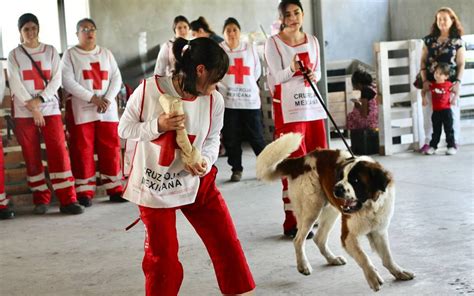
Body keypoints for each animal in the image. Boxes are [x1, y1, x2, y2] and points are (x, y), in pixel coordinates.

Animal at [256, 134, 414, 292]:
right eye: (340, 177)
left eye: (355, 180)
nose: (336, 188)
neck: (369, 206)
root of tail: (301, 160)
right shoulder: (348, 236)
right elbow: (363, 256)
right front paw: (373, 277)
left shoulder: (379, 231)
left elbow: (387, 257)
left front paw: (399, 272)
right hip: (312, 210)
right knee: (298, 240)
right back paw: (303, 265)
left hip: (330, 212)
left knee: (319, 238)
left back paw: (332, 259)